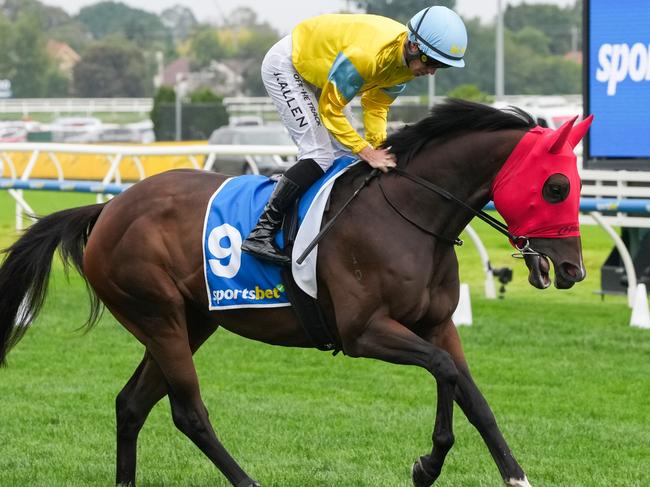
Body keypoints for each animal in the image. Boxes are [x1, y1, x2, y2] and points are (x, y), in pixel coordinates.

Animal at [0, 100, 588, 487]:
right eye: (556, 186)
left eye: (578, 186)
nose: (572, 269)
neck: (409, 215)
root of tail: (107, 209)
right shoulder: (363, 332)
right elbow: (445, 372)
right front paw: (430, 465)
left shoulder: (437, 324)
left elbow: (468, 392)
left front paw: (493, 471)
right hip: (158, 315)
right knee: (188, 413)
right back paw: (247, 481)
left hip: (191, 322)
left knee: (131, 404)